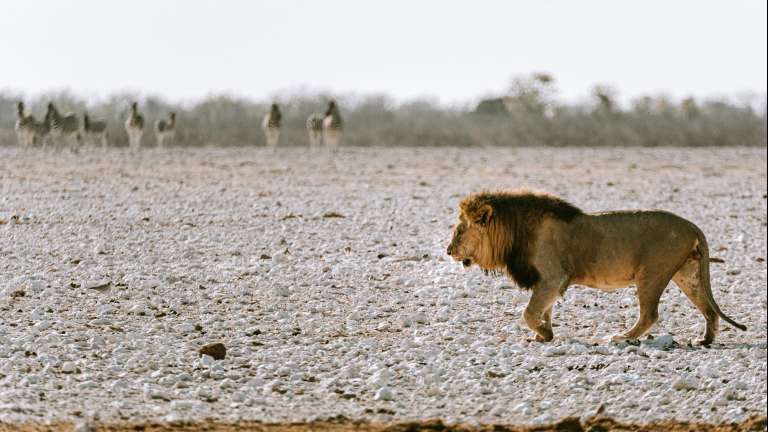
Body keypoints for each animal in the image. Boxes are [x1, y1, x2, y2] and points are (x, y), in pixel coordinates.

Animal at [446, 190, 747, 345]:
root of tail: (691, 225)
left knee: (650, 314)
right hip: (688, 274)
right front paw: (543, 335)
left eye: (460, 229)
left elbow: (529, 312)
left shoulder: (552, 277)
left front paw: (544, 333)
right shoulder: (550, 282)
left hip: (652, 275)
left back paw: (622, 337)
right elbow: (544, 310)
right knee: (708, 309)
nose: (449, 251)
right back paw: (705, 340)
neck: (514, 231)